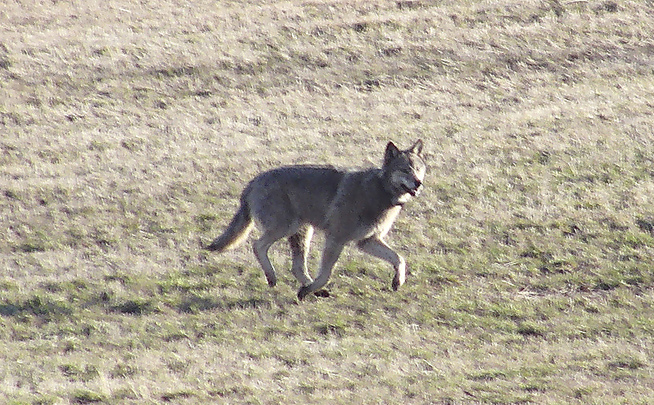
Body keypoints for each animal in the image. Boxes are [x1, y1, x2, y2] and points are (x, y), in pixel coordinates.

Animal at [208, 140, 428, 300]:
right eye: (405, 170)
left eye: (418, 169)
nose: (418, 183)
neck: (380, 191)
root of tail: (252, 182)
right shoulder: (335, 239)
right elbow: (326, 273)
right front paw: (308, 290)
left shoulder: (367, 241)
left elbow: (399, 259)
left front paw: (397, 282)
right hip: (286, 228)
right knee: (257, 245)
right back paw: (273, 278)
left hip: (302, 233)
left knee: (296, 267)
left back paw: (309, 288)